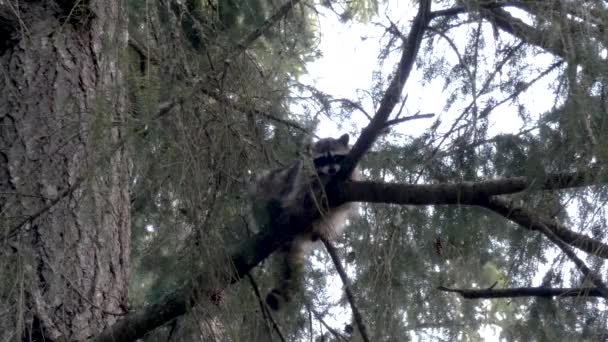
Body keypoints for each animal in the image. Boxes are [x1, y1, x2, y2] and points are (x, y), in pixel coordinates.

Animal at [248, 133, 358, 310]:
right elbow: (301, 194)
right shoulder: (301, 177)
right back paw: (272, 211)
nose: (332, 170)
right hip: (263, 192)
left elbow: (341, 206)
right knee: (263, 191)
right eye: (321, 160)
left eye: (336, 157)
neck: (327, 177)